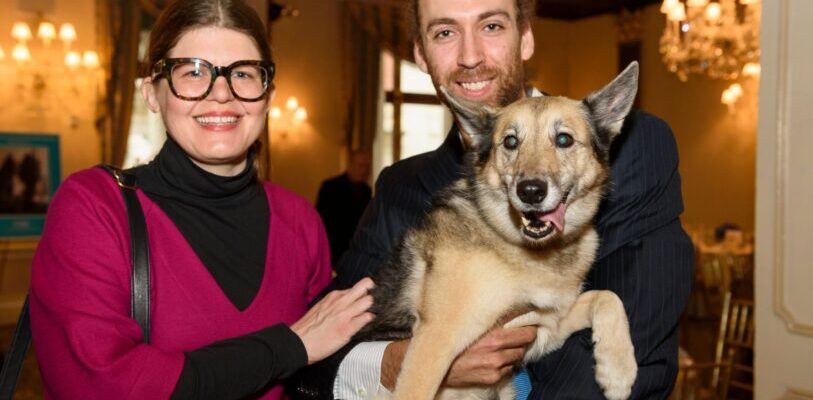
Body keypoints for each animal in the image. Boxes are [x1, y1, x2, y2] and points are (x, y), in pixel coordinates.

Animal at [356, 61, 640, 400]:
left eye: (564, 140)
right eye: (510, 142)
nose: (530, 191)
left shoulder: (545, 327)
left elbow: (608, 297)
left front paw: (618, 369)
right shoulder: (434, 340)